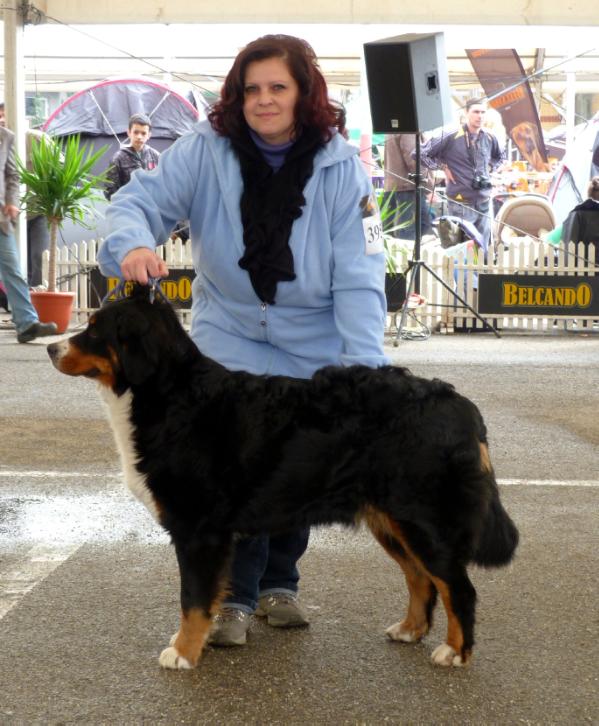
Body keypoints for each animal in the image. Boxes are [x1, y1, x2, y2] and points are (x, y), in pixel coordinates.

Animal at [47, 284, 520, 672]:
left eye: (94, 331)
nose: (51, 347)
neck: (171, 396)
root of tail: (461, 405)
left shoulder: (199, 531)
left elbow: (193, 599)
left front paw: (182, 652)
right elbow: (208, 596)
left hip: (423, 519)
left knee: (457, 586)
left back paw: (454, 651)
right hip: (391, 520)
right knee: (422, 578)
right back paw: (409, 630)